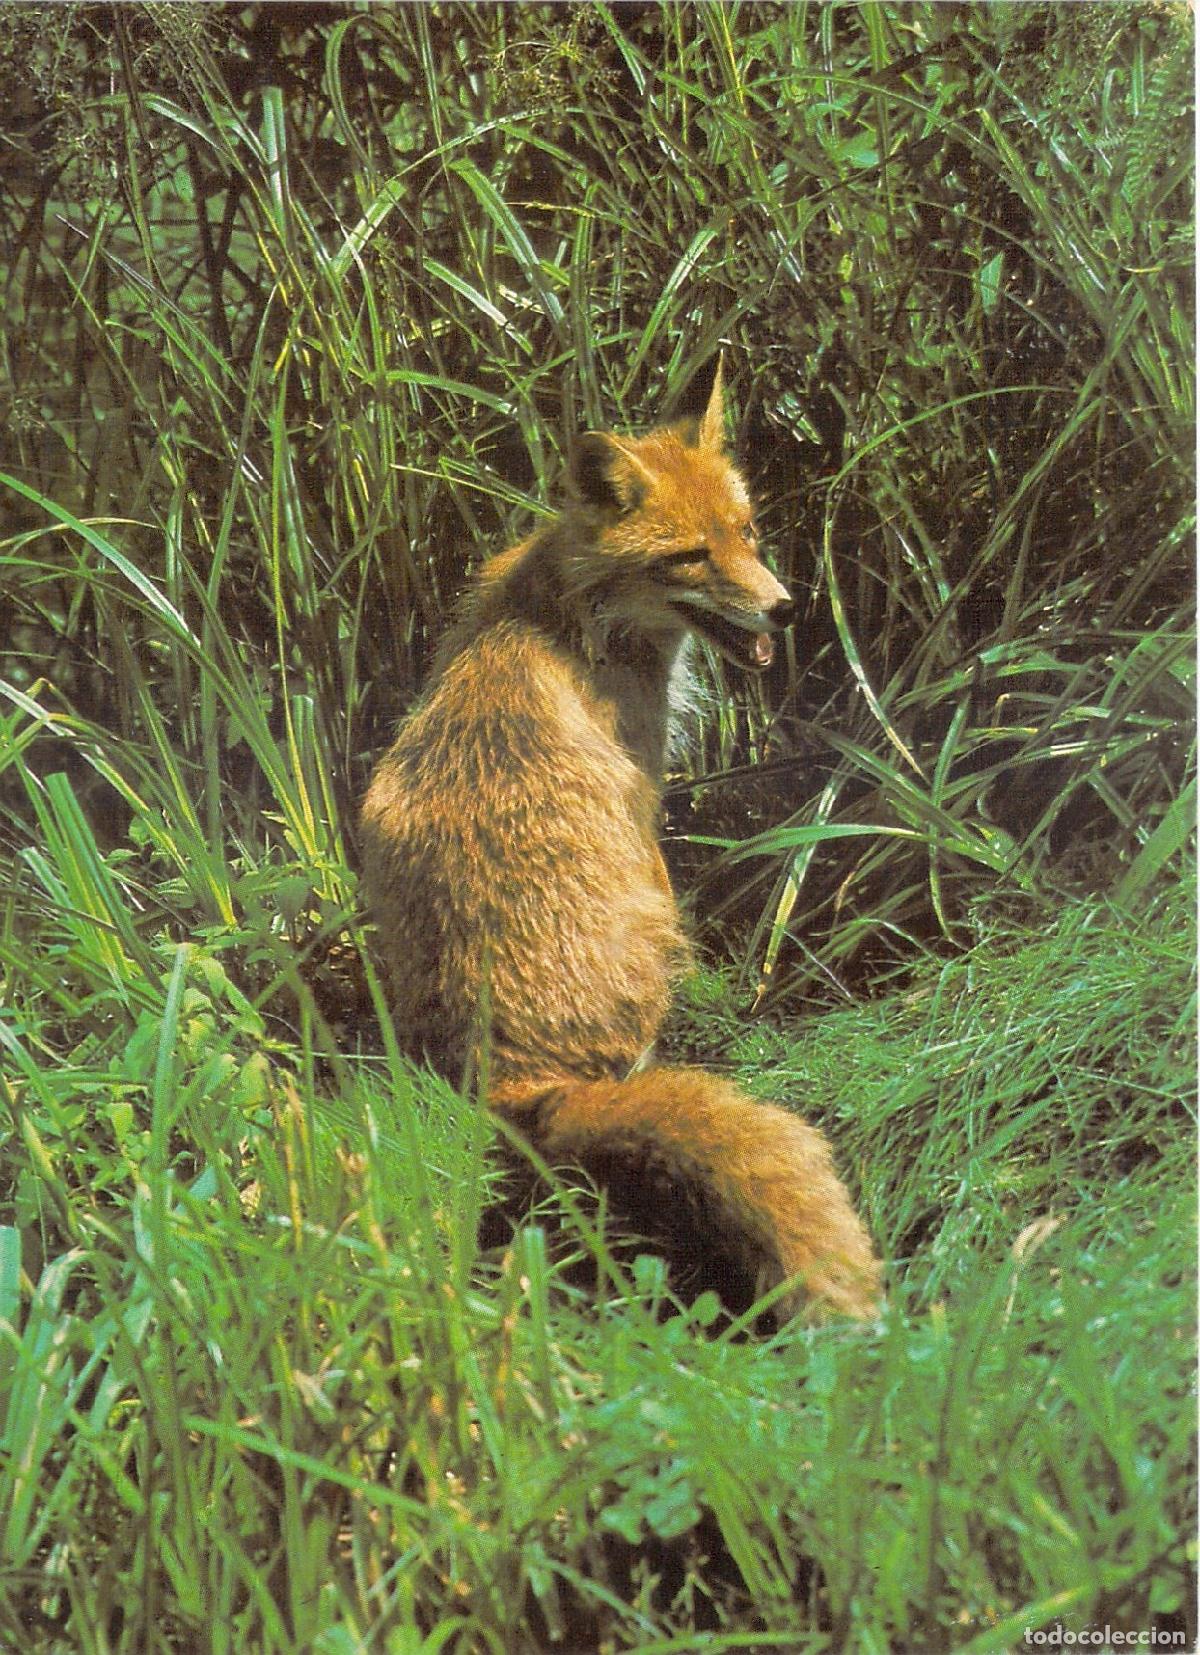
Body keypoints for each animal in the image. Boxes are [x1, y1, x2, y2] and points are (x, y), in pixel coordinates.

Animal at [360, 362, 881, 1322]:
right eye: (691, 556)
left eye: (747, 532)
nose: (787, 608)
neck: (567, 614)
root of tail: (518, 1077)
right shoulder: (643, 802)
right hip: (649, 934)